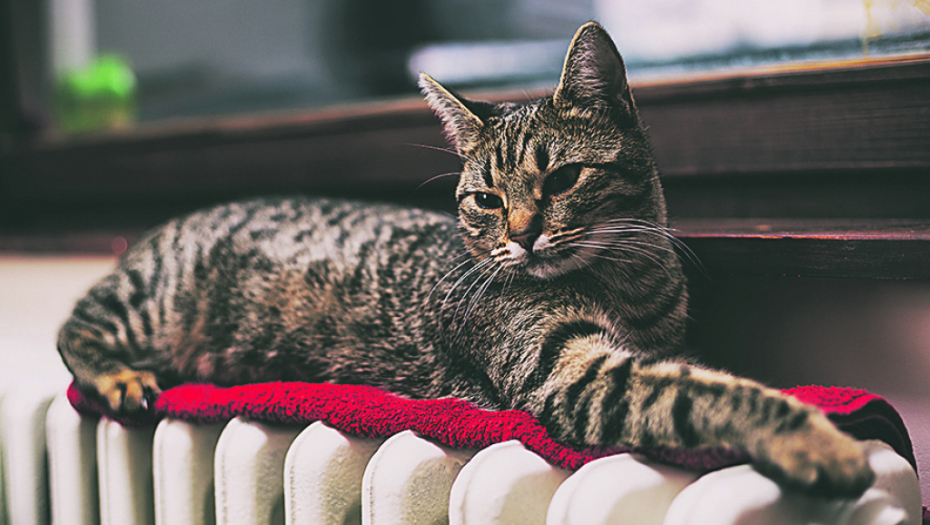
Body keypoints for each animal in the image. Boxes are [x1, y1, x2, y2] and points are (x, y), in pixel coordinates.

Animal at [56, 21, 872, 496]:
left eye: (561, 179)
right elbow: (706, 393)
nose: (523, 232)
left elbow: (699, 372)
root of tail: (170, 223)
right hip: (147, 302)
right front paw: (815, 439)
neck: (630, 280)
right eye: (485, 198)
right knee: (75, 328)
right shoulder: (573, 373)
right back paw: (119, 375)